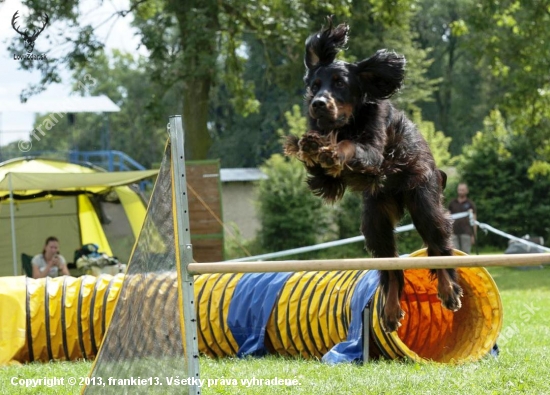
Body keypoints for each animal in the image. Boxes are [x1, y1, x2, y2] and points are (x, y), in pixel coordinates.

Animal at [284, 17, 462, 332]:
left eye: (340, 83)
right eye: (315, 85)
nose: (318, 104)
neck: (347, 122)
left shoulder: (376, 151)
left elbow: (351, 147)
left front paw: (332, 150)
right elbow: (322, 168)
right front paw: (313, 145)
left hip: (424, 201)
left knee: (438, 246)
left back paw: (448, 290)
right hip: (375, 220)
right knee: (391, 268)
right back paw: (390, 311)